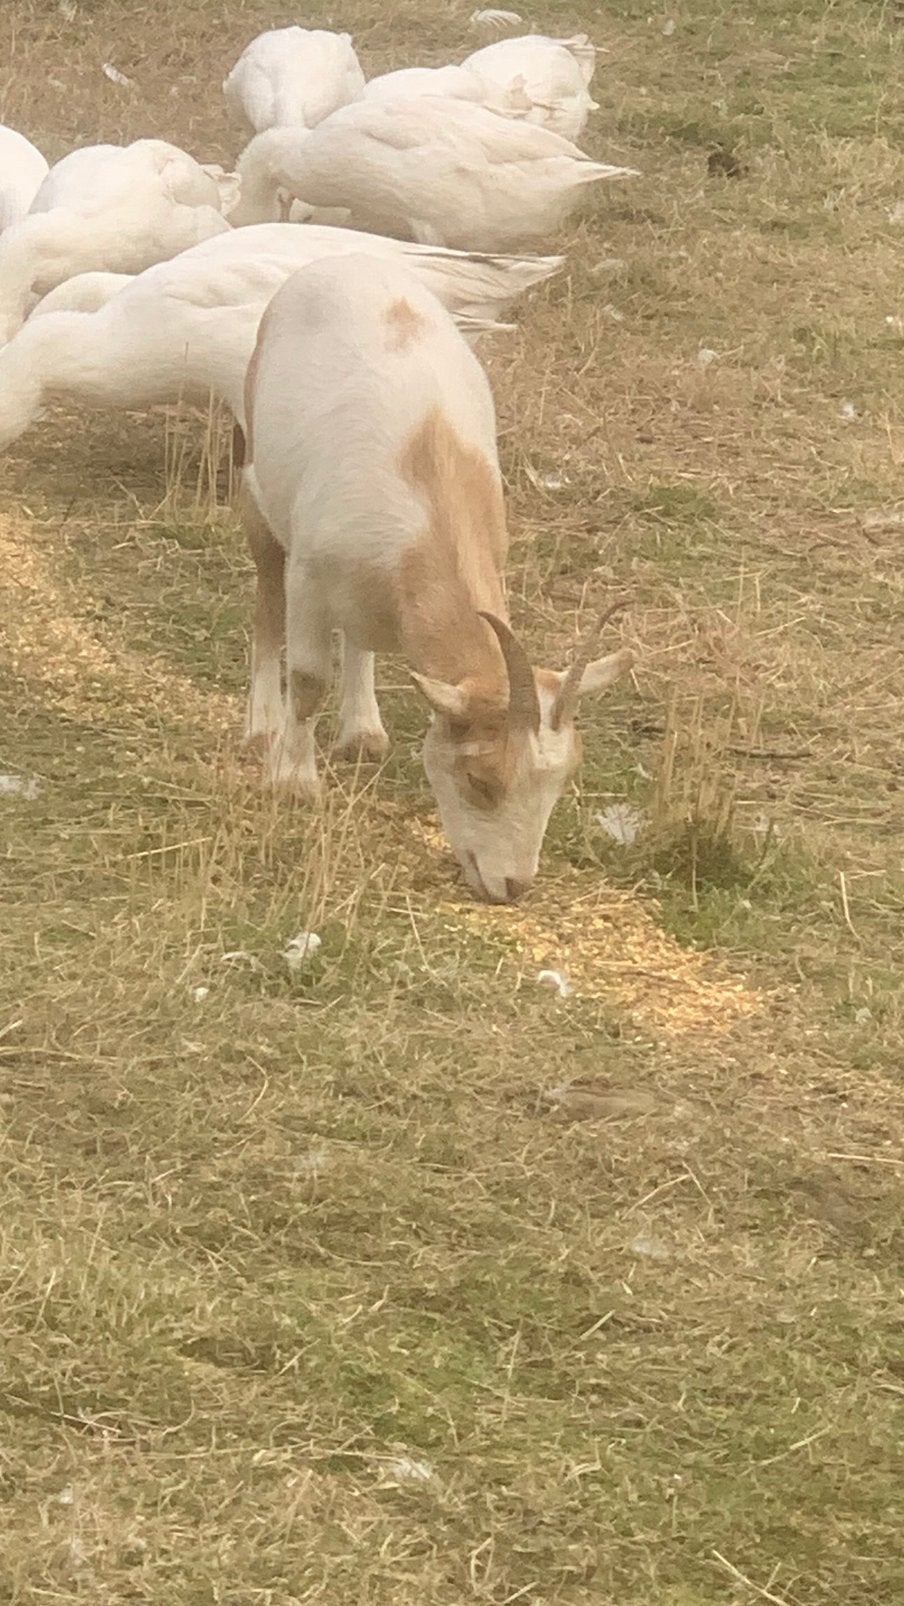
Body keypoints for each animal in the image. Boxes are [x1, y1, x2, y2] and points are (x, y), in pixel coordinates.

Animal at [243, 254, 633, 903]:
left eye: (559, 784)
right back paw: (261, 725)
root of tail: (343, 262)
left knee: (362, 634)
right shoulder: (309, 578)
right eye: (480, 779)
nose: (512, 885)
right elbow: (308, 679)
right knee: (267, 590)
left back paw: (363, 731)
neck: (428, 484)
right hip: (257, 485)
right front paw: (293, 781)